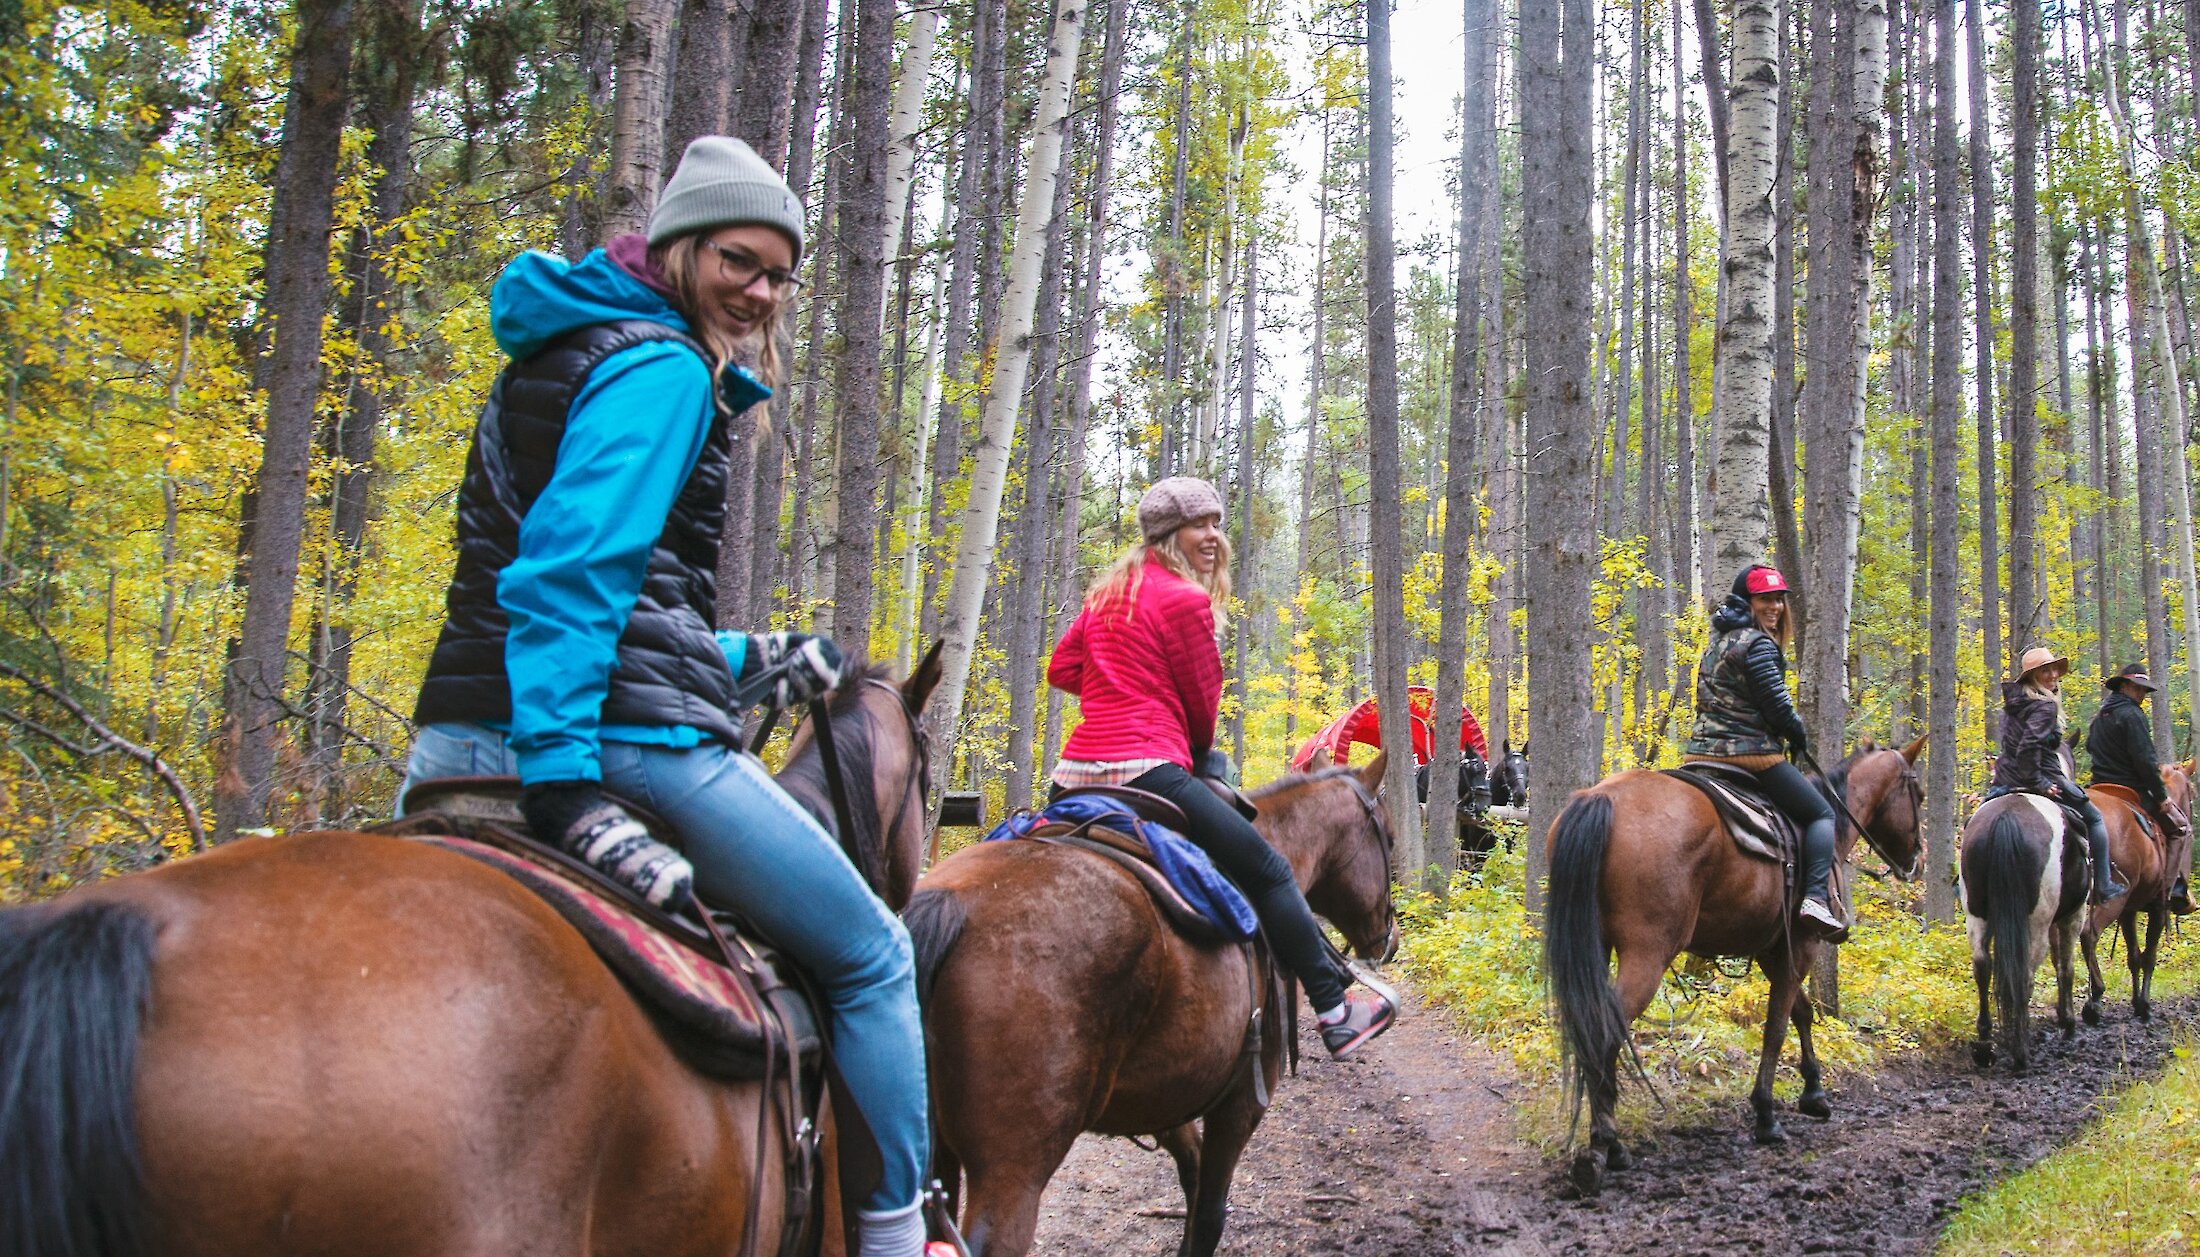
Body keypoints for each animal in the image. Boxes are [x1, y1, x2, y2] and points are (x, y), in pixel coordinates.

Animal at [902, 752, 1399, 1250]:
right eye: (1390, 842)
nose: (1389, 941)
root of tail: (953, 904)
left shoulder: (1170, 1089)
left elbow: (1193, 1176)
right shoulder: (1240, 1101)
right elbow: (1209, 1214)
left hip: (938, 1156)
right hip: (1013, 1167)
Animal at [1540, 744, 1918, 1197]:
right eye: (1917, 792)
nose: (1915, 859)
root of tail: (1600, 799)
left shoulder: (1775, 950)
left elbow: (1801, 1013)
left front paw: (1813, 1092)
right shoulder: (1801, 946)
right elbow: (1776, 1029)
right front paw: (1767, 1115)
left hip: (1596, 943)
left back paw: (1607, 1145)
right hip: (1647, 953)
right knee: (1605, 1032)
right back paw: (1602, 1149)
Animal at [2076, 761, 2200, 1025]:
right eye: (2192, 793)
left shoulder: (2129, 910)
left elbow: (2134, 956)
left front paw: (2135, 1002)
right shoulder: (2158, 907)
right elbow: (2149, 956)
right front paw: (2144, 1006)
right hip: (2112, 899)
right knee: (2088, 934)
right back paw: (2094, 999)